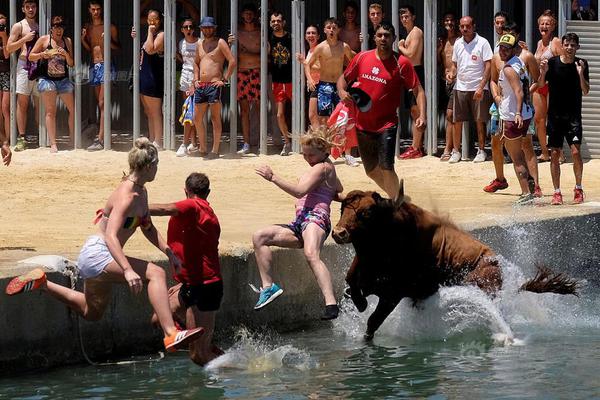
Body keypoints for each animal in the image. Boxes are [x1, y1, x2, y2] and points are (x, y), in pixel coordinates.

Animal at [330, 182, 580, 340]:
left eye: (366, 212)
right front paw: (359, 304)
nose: (339, 232)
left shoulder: (393, 294)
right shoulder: (363, 278)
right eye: (342, 208)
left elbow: (372, 321)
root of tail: (496, 264)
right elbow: (352, 287)